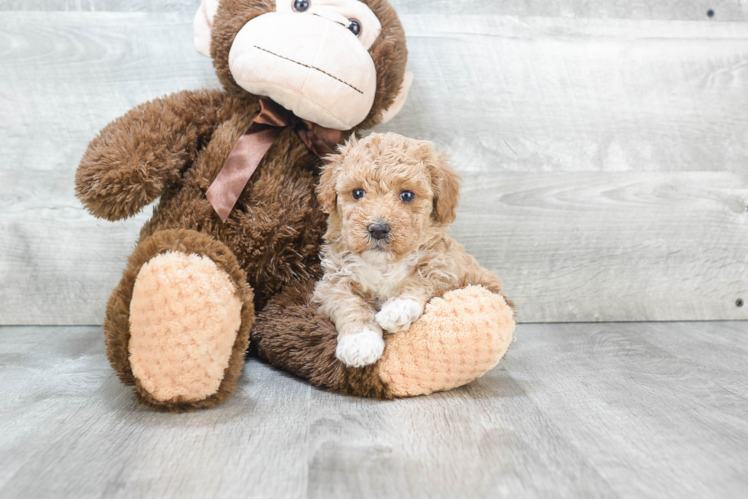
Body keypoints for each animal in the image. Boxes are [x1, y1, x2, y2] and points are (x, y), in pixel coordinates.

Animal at [312, 133, 506, 368]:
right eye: (357, 193)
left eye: (407, 195)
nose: (378, 229)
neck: (385, 264)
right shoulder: (334, 282)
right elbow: (350, 305)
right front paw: (360, 341)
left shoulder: (446, 268)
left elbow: (420, 280)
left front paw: (397, 309)